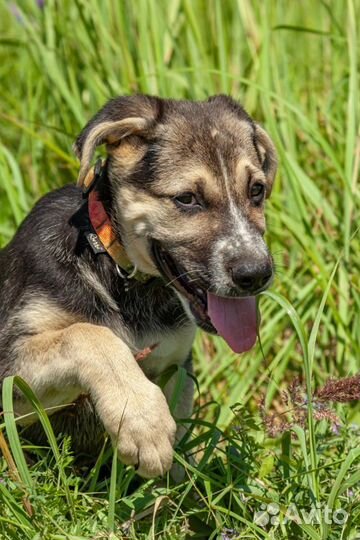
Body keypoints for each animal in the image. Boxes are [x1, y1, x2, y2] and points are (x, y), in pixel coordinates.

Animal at [0, 94, 278, 476]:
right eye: (187, 199)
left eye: (256, 190)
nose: (256, 274)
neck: (123, 276)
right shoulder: (9, 369)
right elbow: (88, 335)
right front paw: (144, 421)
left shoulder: (176, 365)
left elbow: (180, 459)